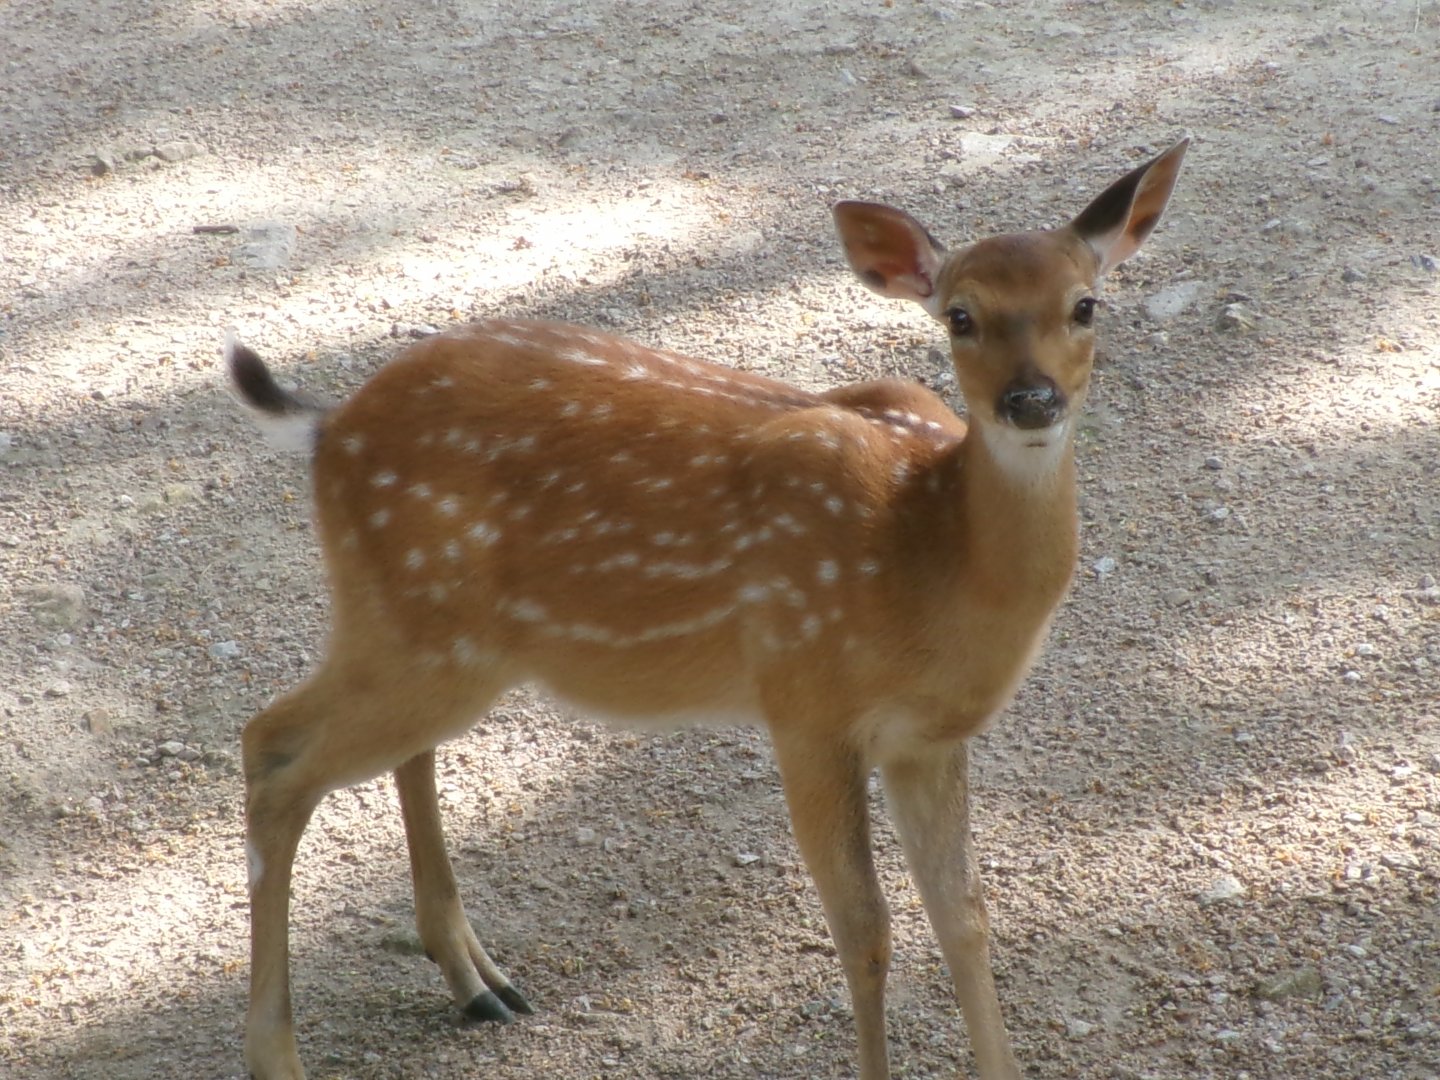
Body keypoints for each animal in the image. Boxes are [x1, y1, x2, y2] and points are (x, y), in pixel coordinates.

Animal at [227, 137, 1188, 1080]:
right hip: (414, 630)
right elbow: (866, 932)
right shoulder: (806, 703)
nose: (1030, 400)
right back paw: (281, 1055)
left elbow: (965, 916)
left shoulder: (924, 738)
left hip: (433, 639)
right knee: (272, 748)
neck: (926, 559)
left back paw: (477, 980)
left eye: (1085, 305)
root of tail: (327, 429)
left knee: (383, 751)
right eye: (959, 316)